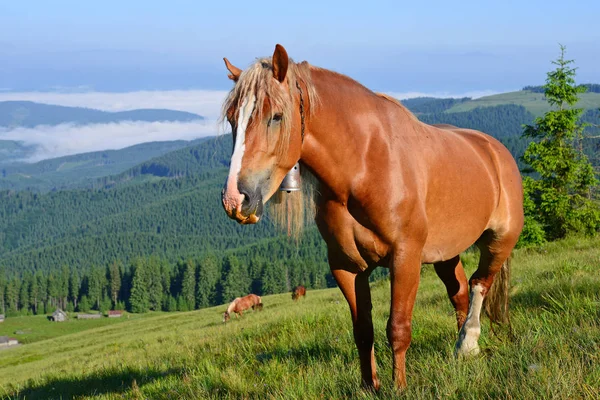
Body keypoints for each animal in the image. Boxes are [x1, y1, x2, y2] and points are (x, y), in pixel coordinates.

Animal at [218, 44, 524, 390]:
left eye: (276, 116)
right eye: (232, 119)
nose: (235, 199)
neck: (365, 164)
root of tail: (495, 150)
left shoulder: (405, 258)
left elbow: (398, 327)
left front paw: (399, 387)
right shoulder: (346, 267)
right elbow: (363, 331)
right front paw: (370, 386)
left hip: (501, 240)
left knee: (479, 284)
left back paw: (469, 342)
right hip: (446, 252)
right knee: (459, 292)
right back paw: (461, 350)